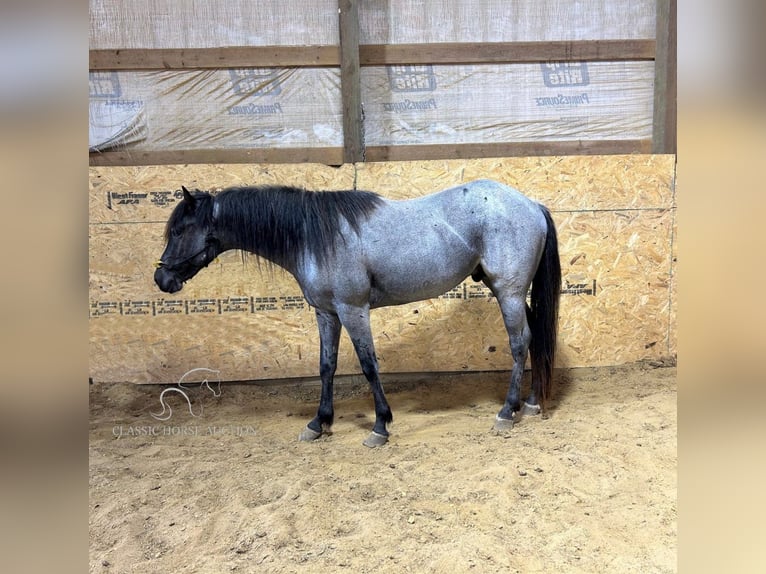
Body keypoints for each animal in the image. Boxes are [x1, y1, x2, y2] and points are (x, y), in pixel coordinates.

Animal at [158, 180, 564, 450]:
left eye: (179, 230)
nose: (162, 279)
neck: (316, 237)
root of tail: (531, 203)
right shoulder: (326, 313)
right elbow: (327, 366)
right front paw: (319, 422)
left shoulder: (353, 311)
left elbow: (369, 366)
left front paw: (380, 425)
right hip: (510, 292)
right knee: (533, 337)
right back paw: (530, 403)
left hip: (508, 292)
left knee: (518, 343)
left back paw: (507, 412)